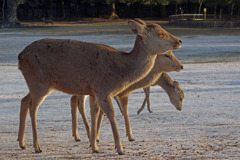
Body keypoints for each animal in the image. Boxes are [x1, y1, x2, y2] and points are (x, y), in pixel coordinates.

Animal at [17, 18, 182, 155]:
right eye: (161, 33)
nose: (179, 41)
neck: (121, 71)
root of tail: (20, 57)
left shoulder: (93, 91)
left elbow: (94, 114)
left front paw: (94, 146)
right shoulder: (103, 89)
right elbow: (111, 114)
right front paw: (120, 148)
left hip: (37, 84)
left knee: (24, 100)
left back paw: (22, 143)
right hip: (40, 82)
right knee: (33, 108)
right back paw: (37, 146)